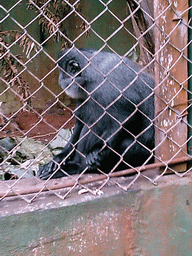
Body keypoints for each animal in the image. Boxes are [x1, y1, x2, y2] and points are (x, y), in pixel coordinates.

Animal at [38, 48, 154, 180]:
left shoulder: (109, 88)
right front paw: (60, 157)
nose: (60, 79)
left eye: (62, 72)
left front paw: (96, 149)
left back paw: (79, 167)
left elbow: (126, 117)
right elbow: (80, 122)